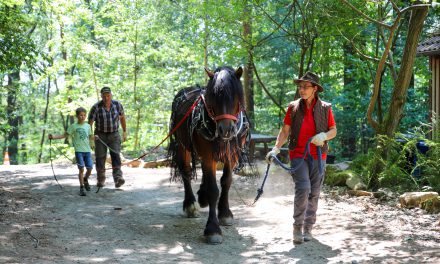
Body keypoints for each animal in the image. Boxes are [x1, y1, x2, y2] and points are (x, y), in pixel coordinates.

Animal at [168, 65, 249, 243]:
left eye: (236, 97)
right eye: (213, 98)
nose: (226, 130)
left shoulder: (232, 154)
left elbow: (226, 181)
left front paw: (225, 213)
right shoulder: (208, 155)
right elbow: (213, 189)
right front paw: (213, 229)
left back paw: (202, 196)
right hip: (182, 145)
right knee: (185, 172)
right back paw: (190, 204)